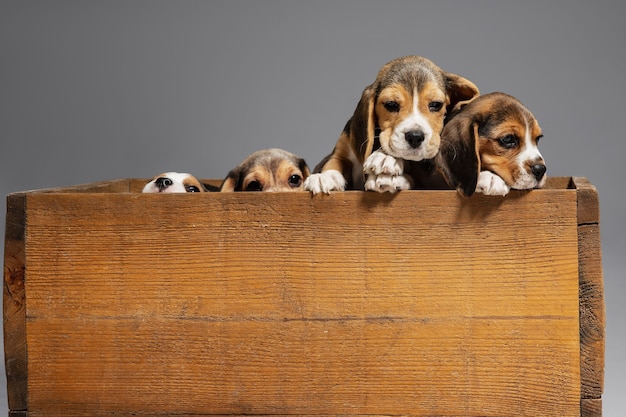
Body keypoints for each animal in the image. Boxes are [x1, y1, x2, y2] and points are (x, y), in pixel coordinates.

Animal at [304, 54, 478, 195]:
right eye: (391, 104)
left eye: (436, 104)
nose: (415, 136)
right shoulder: (341, 148)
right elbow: (334, 162)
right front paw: (325, 177)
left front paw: (385, 158)